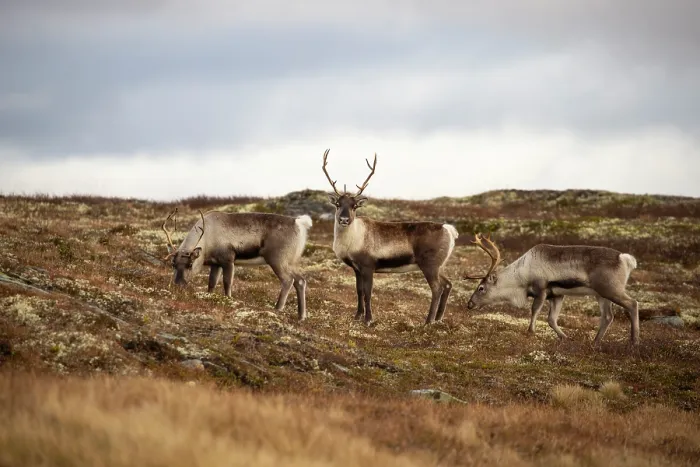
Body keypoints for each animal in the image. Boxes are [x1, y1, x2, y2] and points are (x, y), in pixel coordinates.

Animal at [162, 208, 313, 320]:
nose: (178, 284)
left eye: (190, 264)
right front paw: (210, 297)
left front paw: (228, 300)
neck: (208, 238)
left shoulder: (228, 260)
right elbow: (211, 283)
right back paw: (301, 316)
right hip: (290, 263)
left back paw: (278, 308)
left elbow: (227, 283)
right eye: (173, 264)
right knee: (300, 280)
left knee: (288, 280)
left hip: (277, 260)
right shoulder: (216, 264)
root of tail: (299, 223)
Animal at [321, 148, 459, 325]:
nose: (344, 219)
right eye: (338, 204)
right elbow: (359, 291)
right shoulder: (356, 268)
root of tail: (449, 229)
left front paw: (368, 319)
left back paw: (428, 321)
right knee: (448, 284)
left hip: (430, 265)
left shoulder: (368, 266)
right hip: (439, 266)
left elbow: (368, 293)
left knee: (437, 288)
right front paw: (357, 316)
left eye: (354, 206)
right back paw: (438, 319)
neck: (352, 241)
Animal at [463, 233, 640, 345]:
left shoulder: (541, 289)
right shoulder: (557, 296)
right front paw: (565, 338)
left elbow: (535, 311)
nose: (469, 304)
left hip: (611, 289)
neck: (522, 276)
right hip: (601, 294)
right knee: (608, 316)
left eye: (481, 288)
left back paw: (634, 342)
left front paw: (531, 332)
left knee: (633, 304)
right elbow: (551, 319)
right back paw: (595, 342)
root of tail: (625, 259)